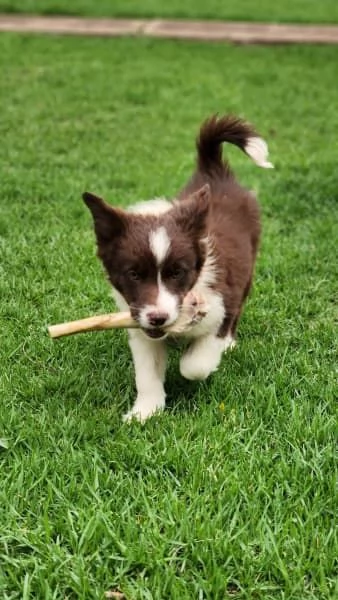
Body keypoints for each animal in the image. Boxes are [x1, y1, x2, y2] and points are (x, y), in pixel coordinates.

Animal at [83, 113, 274, 422]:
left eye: (177, 273)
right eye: (134, 274)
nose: (158, 318)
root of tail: (213, 171)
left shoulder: (222, 298)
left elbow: (195, 365)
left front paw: (195, 357)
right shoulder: (140, 324)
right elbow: (147, 371)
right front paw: (145, 411)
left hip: (247, 266)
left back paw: (228, 343)